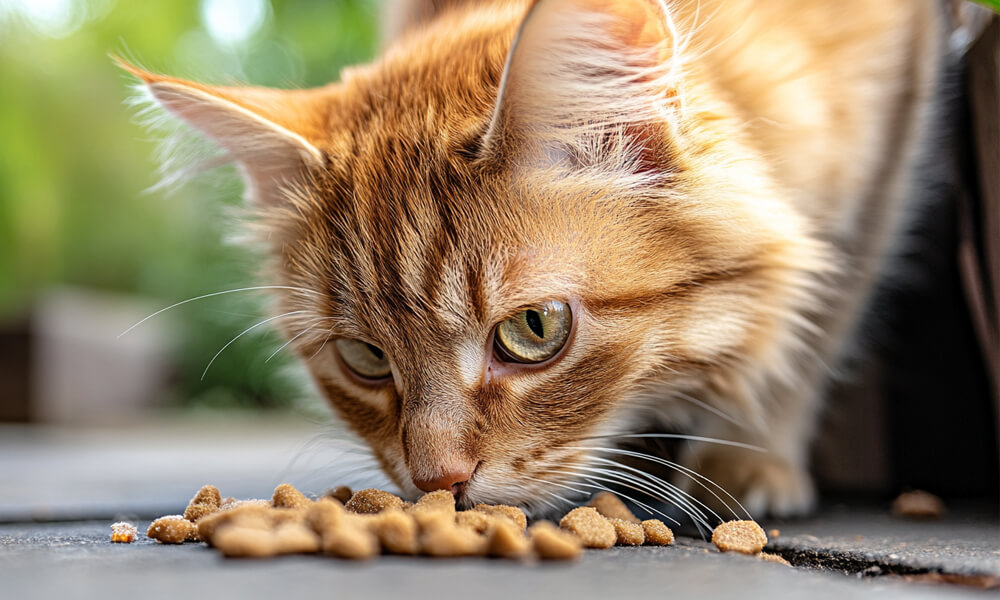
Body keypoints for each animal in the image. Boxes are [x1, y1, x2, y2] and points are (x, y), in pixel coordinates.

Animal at [117, 0, 944, 520]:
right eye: (365, 359)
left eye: (535, 330)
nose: (437, 480)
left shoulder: (893, 148)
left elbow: (809, 332)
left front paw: (751, 457)